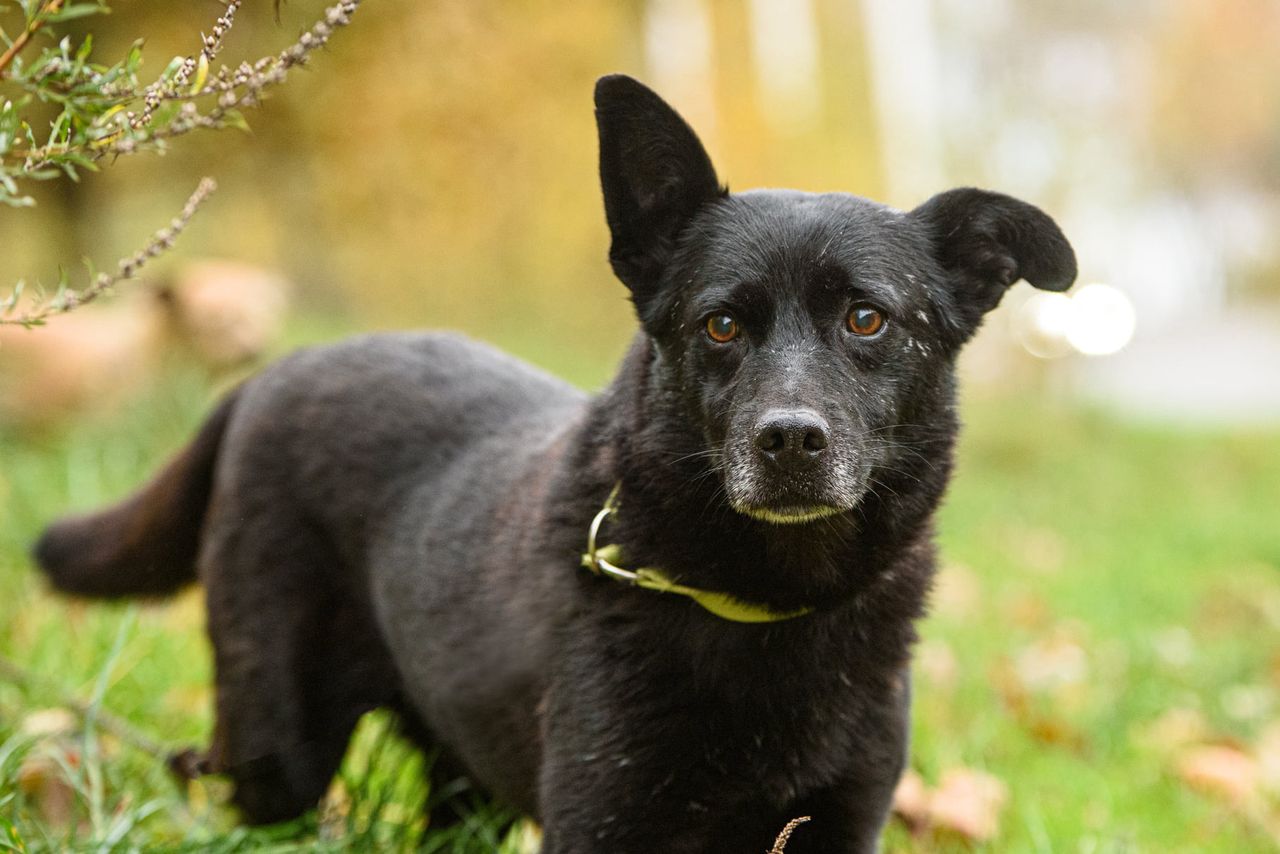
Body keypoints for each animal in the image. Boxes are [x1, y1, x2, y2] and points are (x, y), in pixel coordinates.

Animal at [35, 76, 1075, 850]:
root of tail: (269, 375)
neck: (762, 602)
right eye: (720, 325)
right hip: (277, 747)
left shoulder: (842, 820)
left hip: (460, 772)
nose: (789, 441)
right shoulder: (605, 820)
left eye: (867, 318)